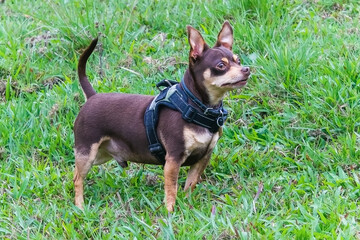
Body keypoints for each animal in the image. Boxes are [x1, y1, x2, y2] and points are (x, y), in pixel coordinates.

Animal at [73, 21, 250, 212]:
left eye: (238, 61)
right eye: (221, 66)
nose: (246, 69)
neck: (196, 106)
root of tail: (92, 97)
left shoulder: (202, 158)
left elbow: (190, 184)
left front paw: (187, 205)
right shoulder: (173, 159)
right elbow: (171, 188)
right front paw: (170, 211)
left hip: (100, 155)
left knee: (75, 172)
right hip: (87, 153)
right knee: (77, 178)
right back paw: (80, 206)